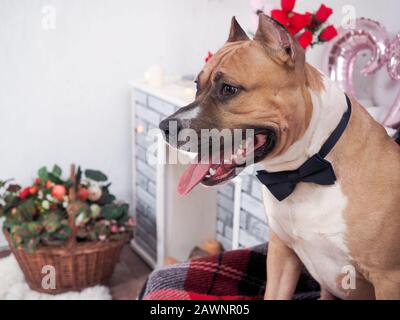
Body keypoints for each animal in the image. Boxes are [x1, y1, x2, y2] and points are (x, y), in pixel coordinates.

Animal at [158, 15, 398, 300]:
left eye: (229, 89)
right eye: (197, 85)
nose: (164, 127)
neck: (304, 170)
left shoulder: (388, 279)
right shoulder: (281, 254)